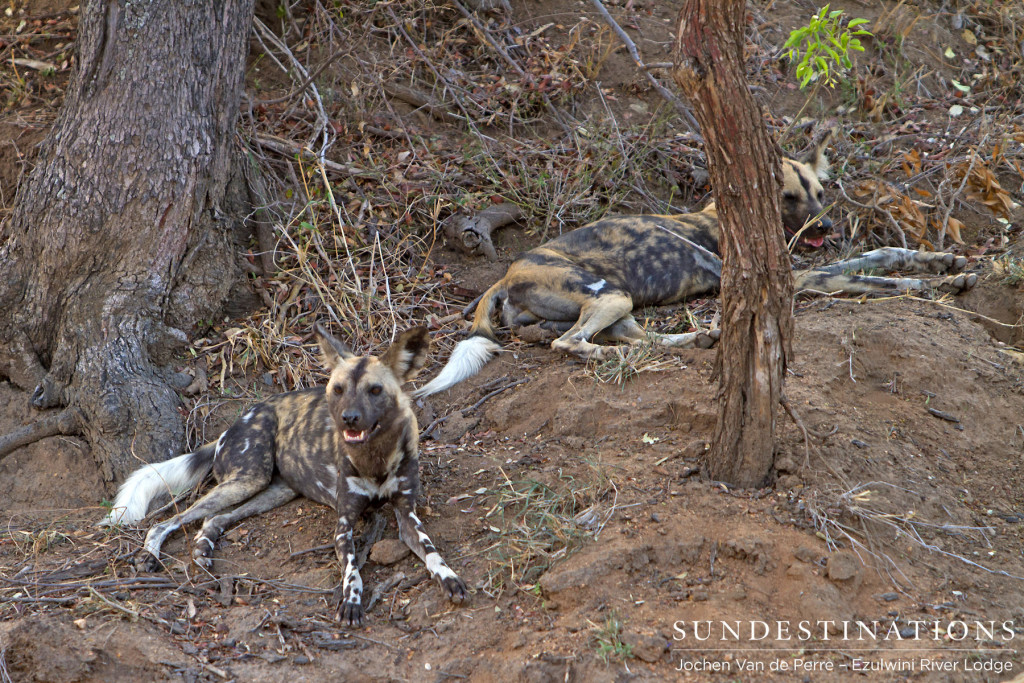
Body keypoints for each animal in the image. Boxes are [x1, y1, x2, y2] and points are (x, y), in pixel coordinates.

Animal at [99, 325, 468, 626]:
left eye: (375, 390)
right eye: (337, 389)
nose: (348, 418)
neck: (374, 458)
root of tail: (230, 428)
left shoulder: (407, 516)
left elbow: (432, 551)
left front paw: (449, 577)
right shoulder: (344, 523)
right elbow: (353, 571)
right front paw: (351, 602)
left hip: (272, 490)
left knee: (214, 519)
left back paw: (203, 549)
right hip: (249, 479)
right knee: (167, 522)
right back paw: (150, 556)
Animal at [413, 147, 974, 397]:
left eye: (818, 192)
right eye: (790, 197)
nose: (827, 225)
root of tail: (505, 276)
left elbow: (881, 256)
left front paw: (946, 264)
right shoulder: (798, 280)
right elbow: (877, 280)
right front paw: (929, 284)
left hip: (618, 302)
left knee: (631, 338)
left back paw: (699, 339)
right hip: (608, 296)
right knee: (570, 344)